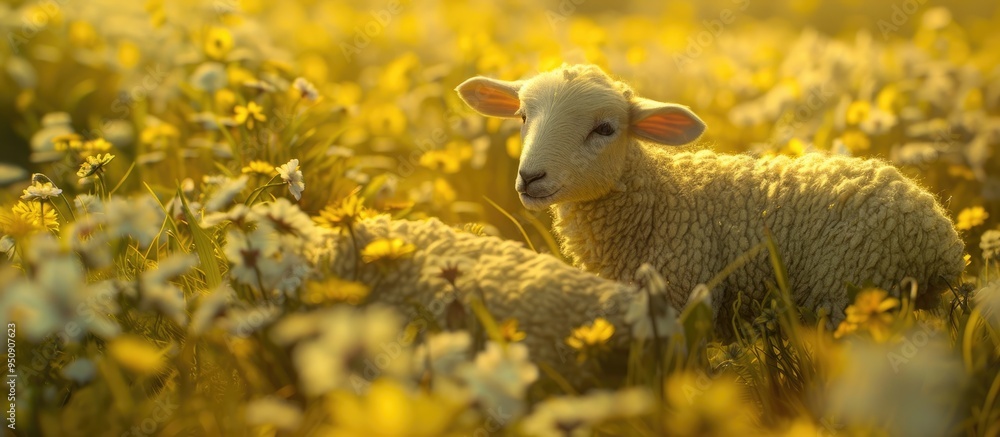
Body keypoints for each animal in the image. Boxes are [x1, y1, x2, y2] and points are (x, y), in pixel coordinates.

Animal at [455, 64, 966, 335]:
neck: (661, 202)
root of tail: (941, 236)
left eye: (605, 128)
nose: (530, 177)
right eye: (522, 116)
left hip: (850, 286)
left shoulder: (685, 292)